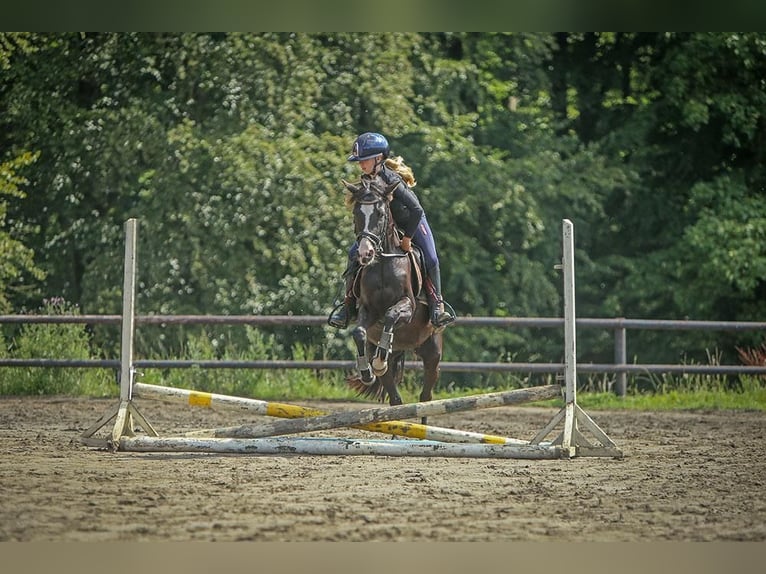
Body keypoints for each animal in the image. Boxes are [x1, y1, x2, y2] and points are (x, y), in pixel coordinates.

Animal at [344, 176, 444, 424]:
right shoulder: (367, 310)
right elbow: (359, 332)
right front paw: (368, 371)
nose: (365, 254)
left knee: (426, 398)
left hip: (432, 352)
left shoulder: (407, 306)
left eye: (380, 213)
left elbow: (391, 314)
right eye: (356, 213)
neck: (382, 262)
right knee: (395, 399)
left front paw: (380, 359)